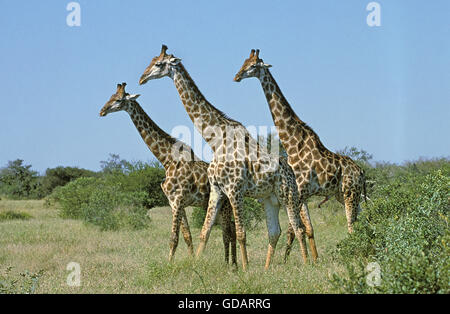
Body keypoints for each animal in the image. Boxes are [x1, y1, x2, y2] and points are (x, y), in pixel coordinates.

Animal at [100, 81, 237, 264]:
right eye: (110, 96)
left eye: (119, 99)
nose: (102, 111)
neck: (166, 160)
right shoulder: (176, 203)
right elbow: (187, 236)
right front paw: (190, 262)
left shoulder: (177, 200)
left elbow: (174, 238)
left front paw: (169, 265)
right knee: (230, 231)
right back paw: (231, 264)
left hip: (226, 205)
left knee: (229, 233)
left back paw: (231, 264)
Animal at [139, 44, 318, 270]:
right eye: (152, 61)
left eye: (159, 64)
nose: (142, 78)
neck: (215, 141)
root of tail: (291, 173)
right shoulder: (217, 189)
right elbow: (204, 232)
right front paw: (197, 265)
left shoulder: (235, 189)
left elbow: (240, 233)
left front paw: (245, 269)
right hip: (270, 199)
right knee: (274, 231)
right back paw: (267, 269)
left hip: (288, 195)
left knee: (299, 228)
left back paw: (307, 264)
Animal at [234, 49, 368, 240]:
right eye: (243, 62)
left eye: (253, 66)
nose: (236, 76)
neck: (293, 144)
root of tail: (362, 171)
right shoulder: (299, 193)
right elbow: (303, 230)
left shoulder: (299, 190)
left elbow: (293, 231)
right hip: (341, 194)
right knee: (363, 219)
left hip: (350, 192)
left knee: (351, 224)